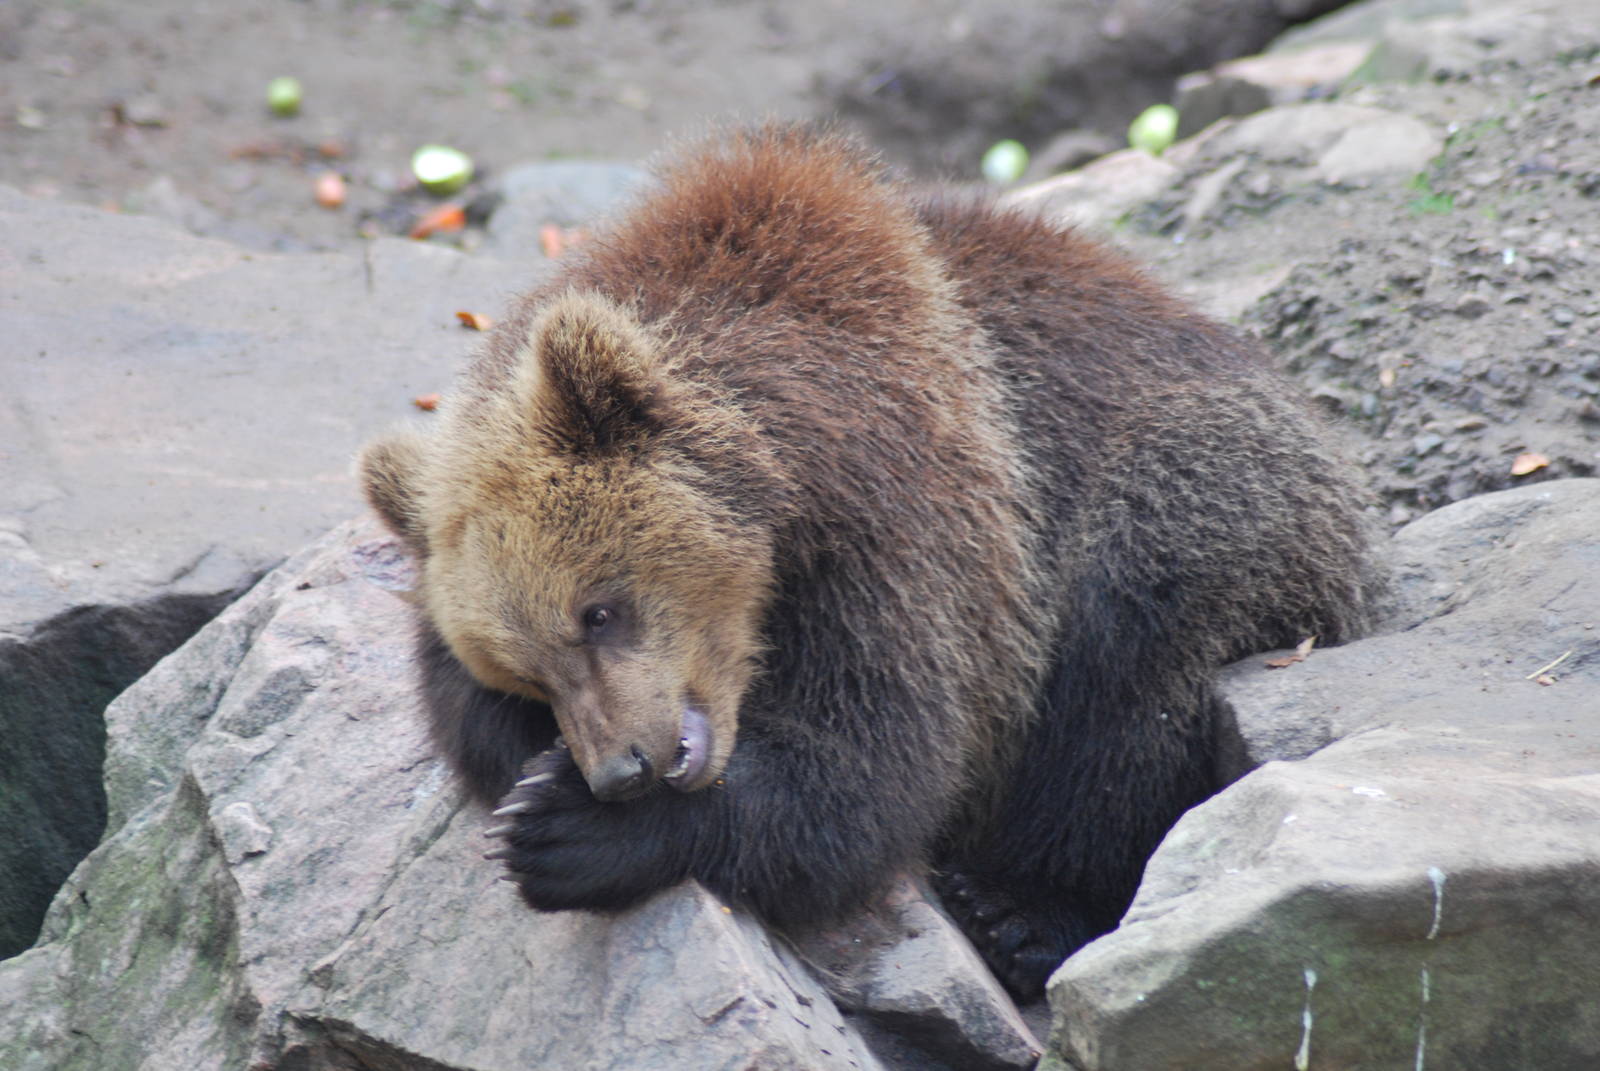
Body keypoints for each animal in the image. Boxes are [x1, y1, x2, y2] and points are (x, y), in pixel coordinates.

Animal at [358, 124, 1378, 1002]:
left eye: (599, 610)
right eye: (527, 672)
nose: (623, 768)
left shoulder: (913, 523)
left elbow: (876, 759)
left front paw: (567, 829)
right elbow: (457, 711)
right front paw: (534, 783)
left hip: (1200, 489)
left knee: (1128, 665)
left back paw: (1017, 911)